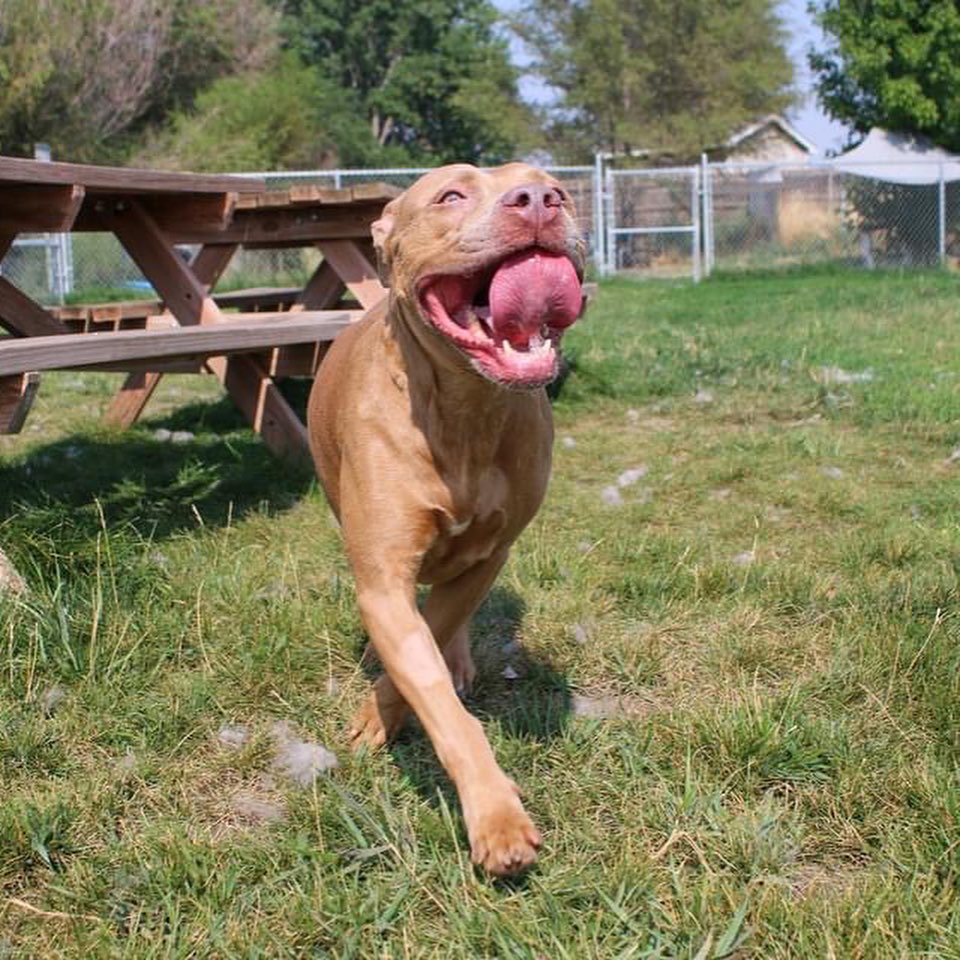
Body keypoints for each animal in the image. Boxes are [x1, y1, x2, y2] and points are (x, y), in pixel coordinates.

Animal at [308, 161, 584, 872]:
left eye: (556, 186)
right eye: (450, 195)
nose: (540, 199)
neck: (465, 408)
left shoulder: (494, 551)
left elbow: (437, 629)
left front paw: (386, 706)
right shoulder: (382, 583)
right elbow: (430, 687)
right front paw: (494, 815)